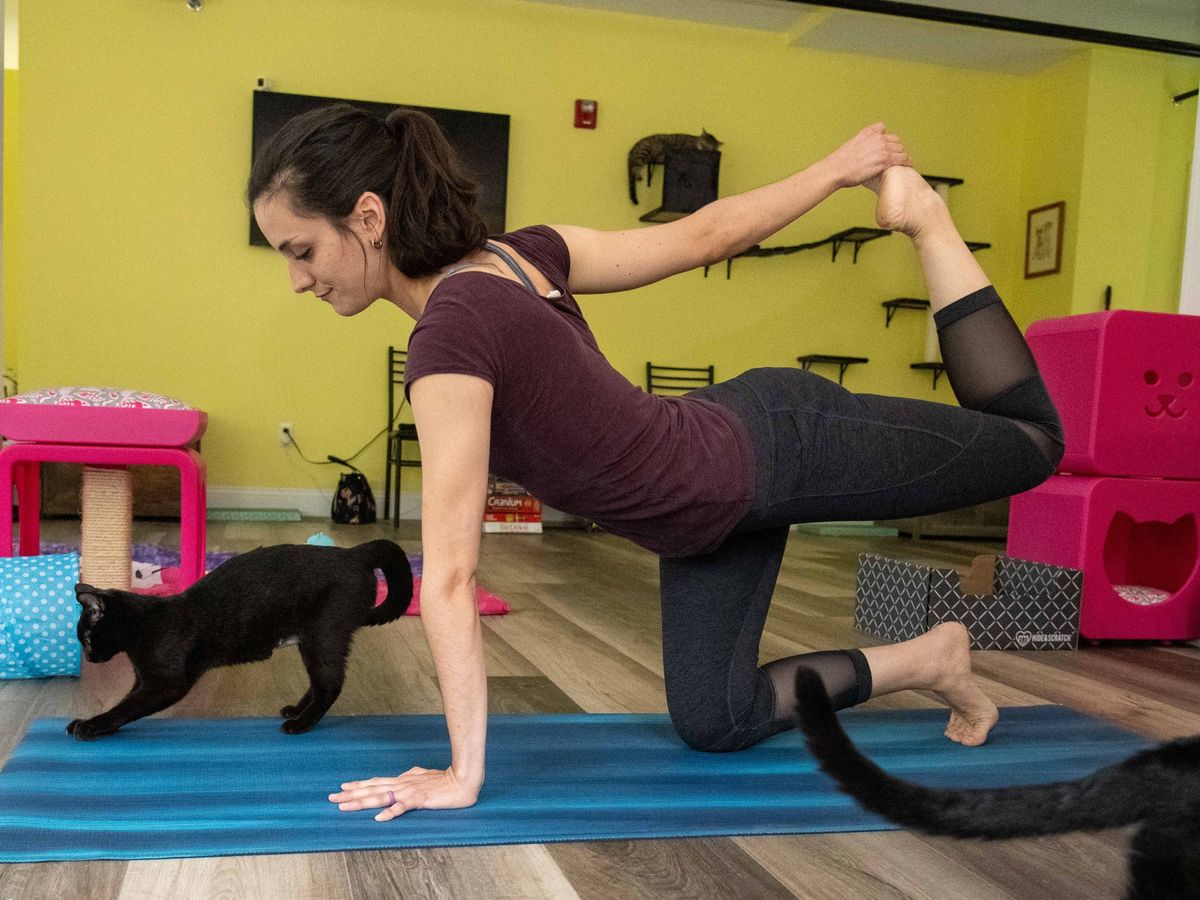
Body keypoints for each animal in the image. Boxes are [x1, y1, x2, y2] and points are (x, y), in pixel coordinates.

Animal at [72, 542, 417, 739]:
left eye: (87, 638)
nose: (89, 657)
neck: (146, 624)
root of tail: (353, 553)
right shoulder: (143, 680)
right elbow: (125, 701)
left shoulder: (167, 683)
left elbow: (125, 708)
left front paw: (90, 725)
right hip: (312, 639)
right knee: (320, 681)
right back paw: (296, 711)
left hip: (324, 633)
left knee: (330, 684)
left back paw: (302, 724)